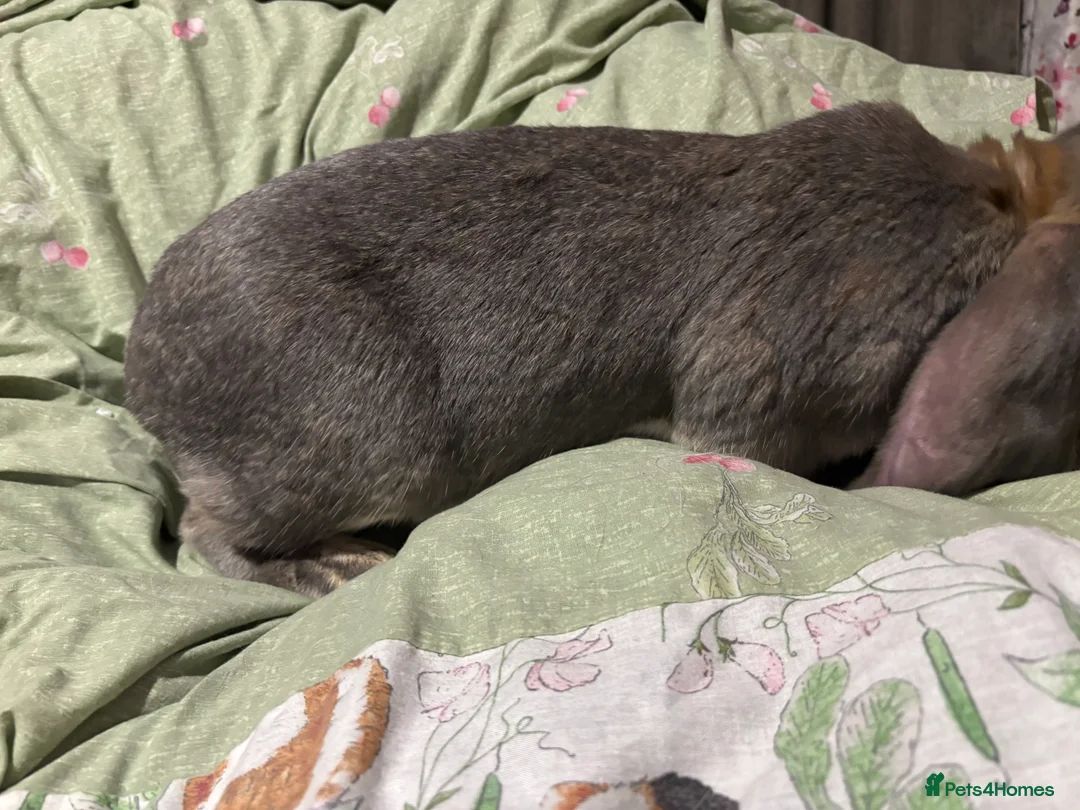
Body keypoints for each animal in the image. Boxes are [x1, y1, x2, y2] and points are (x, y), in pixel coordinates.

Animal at [124, 101, 1051, 597]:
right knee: (207, 529)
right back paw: (340, 568)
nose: (1000, 188)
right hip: (372, 453)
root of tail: (146, 386)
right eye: (936, 303)